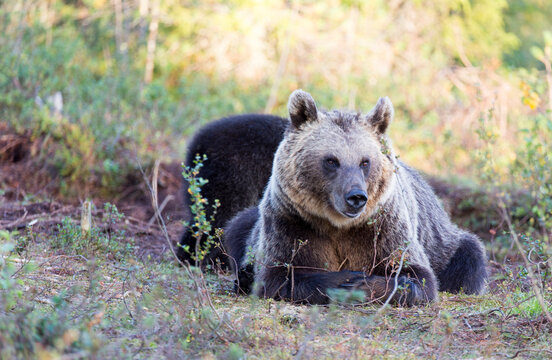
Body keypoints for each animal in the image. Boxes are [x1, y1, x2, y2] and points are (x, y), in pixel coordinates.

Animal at [222, 90, 486, 306]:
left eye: (365, 161)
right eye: (331, 160)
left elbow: (417, 276)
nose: (356, 197)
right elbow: (278, 275)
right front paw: (343, 280)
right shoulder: (291, 221)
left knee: (469, 258)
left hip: (445, 244)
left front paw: (362, 283)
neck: (338, 225)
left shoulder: (384, 227)